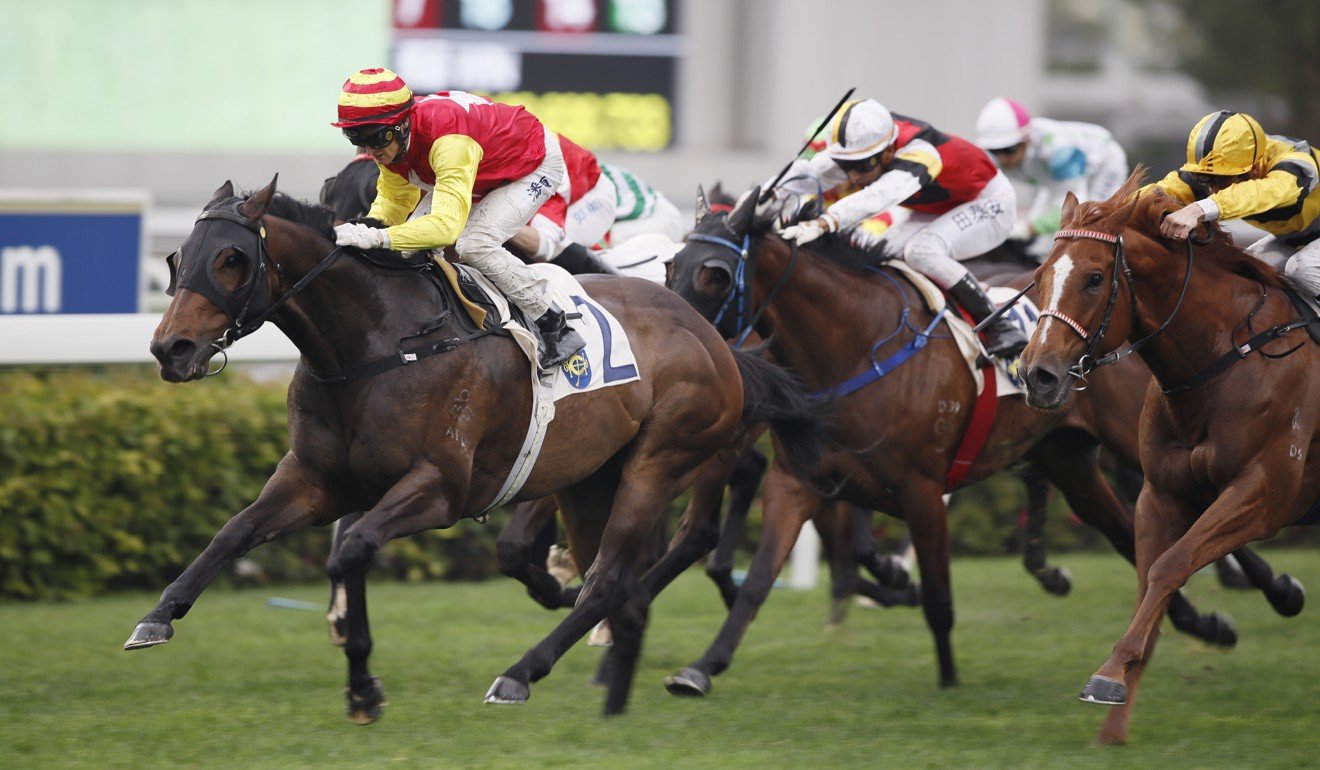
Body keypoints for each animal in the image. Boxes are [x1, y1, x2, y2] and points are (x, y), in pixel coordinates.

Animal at [126, 178, 823, 718]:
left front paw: (363, 688)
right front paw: (158, 615)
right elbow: (235, 531)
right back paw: (614, 698)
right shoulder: (317, 479)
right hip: (591, 478)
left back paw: (521, 673)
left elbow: (352, 550)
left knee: (609, 580)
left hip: (659, 462)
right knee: (615, 586)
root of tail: (713, 337)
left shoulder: (440, 489)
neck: (381, 344)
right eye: (178, 258)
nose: (171, 349)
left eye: (232, 260)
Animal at [665, 183, 1240, 697]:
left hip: (1136, 447)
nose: (679, 338)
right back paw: (1203, 624)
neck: (857, 346)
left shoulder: (922, 490)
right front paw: (701, 668)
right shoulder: (796, 483)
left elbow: (939, 597)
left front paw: (947, 677)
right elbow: (757, 582)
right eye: (671, 264)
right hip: (1068, 461)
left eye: (714, 274)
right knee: (1124, 535)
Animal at [1013, 171, 1314, 744]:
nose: (1037, 376)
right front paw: (1113, 716)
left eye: (1093, 278)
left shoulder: (1263, 493)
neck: (1224, 359)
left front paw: (1110, 674)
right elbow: (1151, 581)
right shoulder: (1161, 494)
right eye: (1039, 276)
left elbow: (1172, 564)